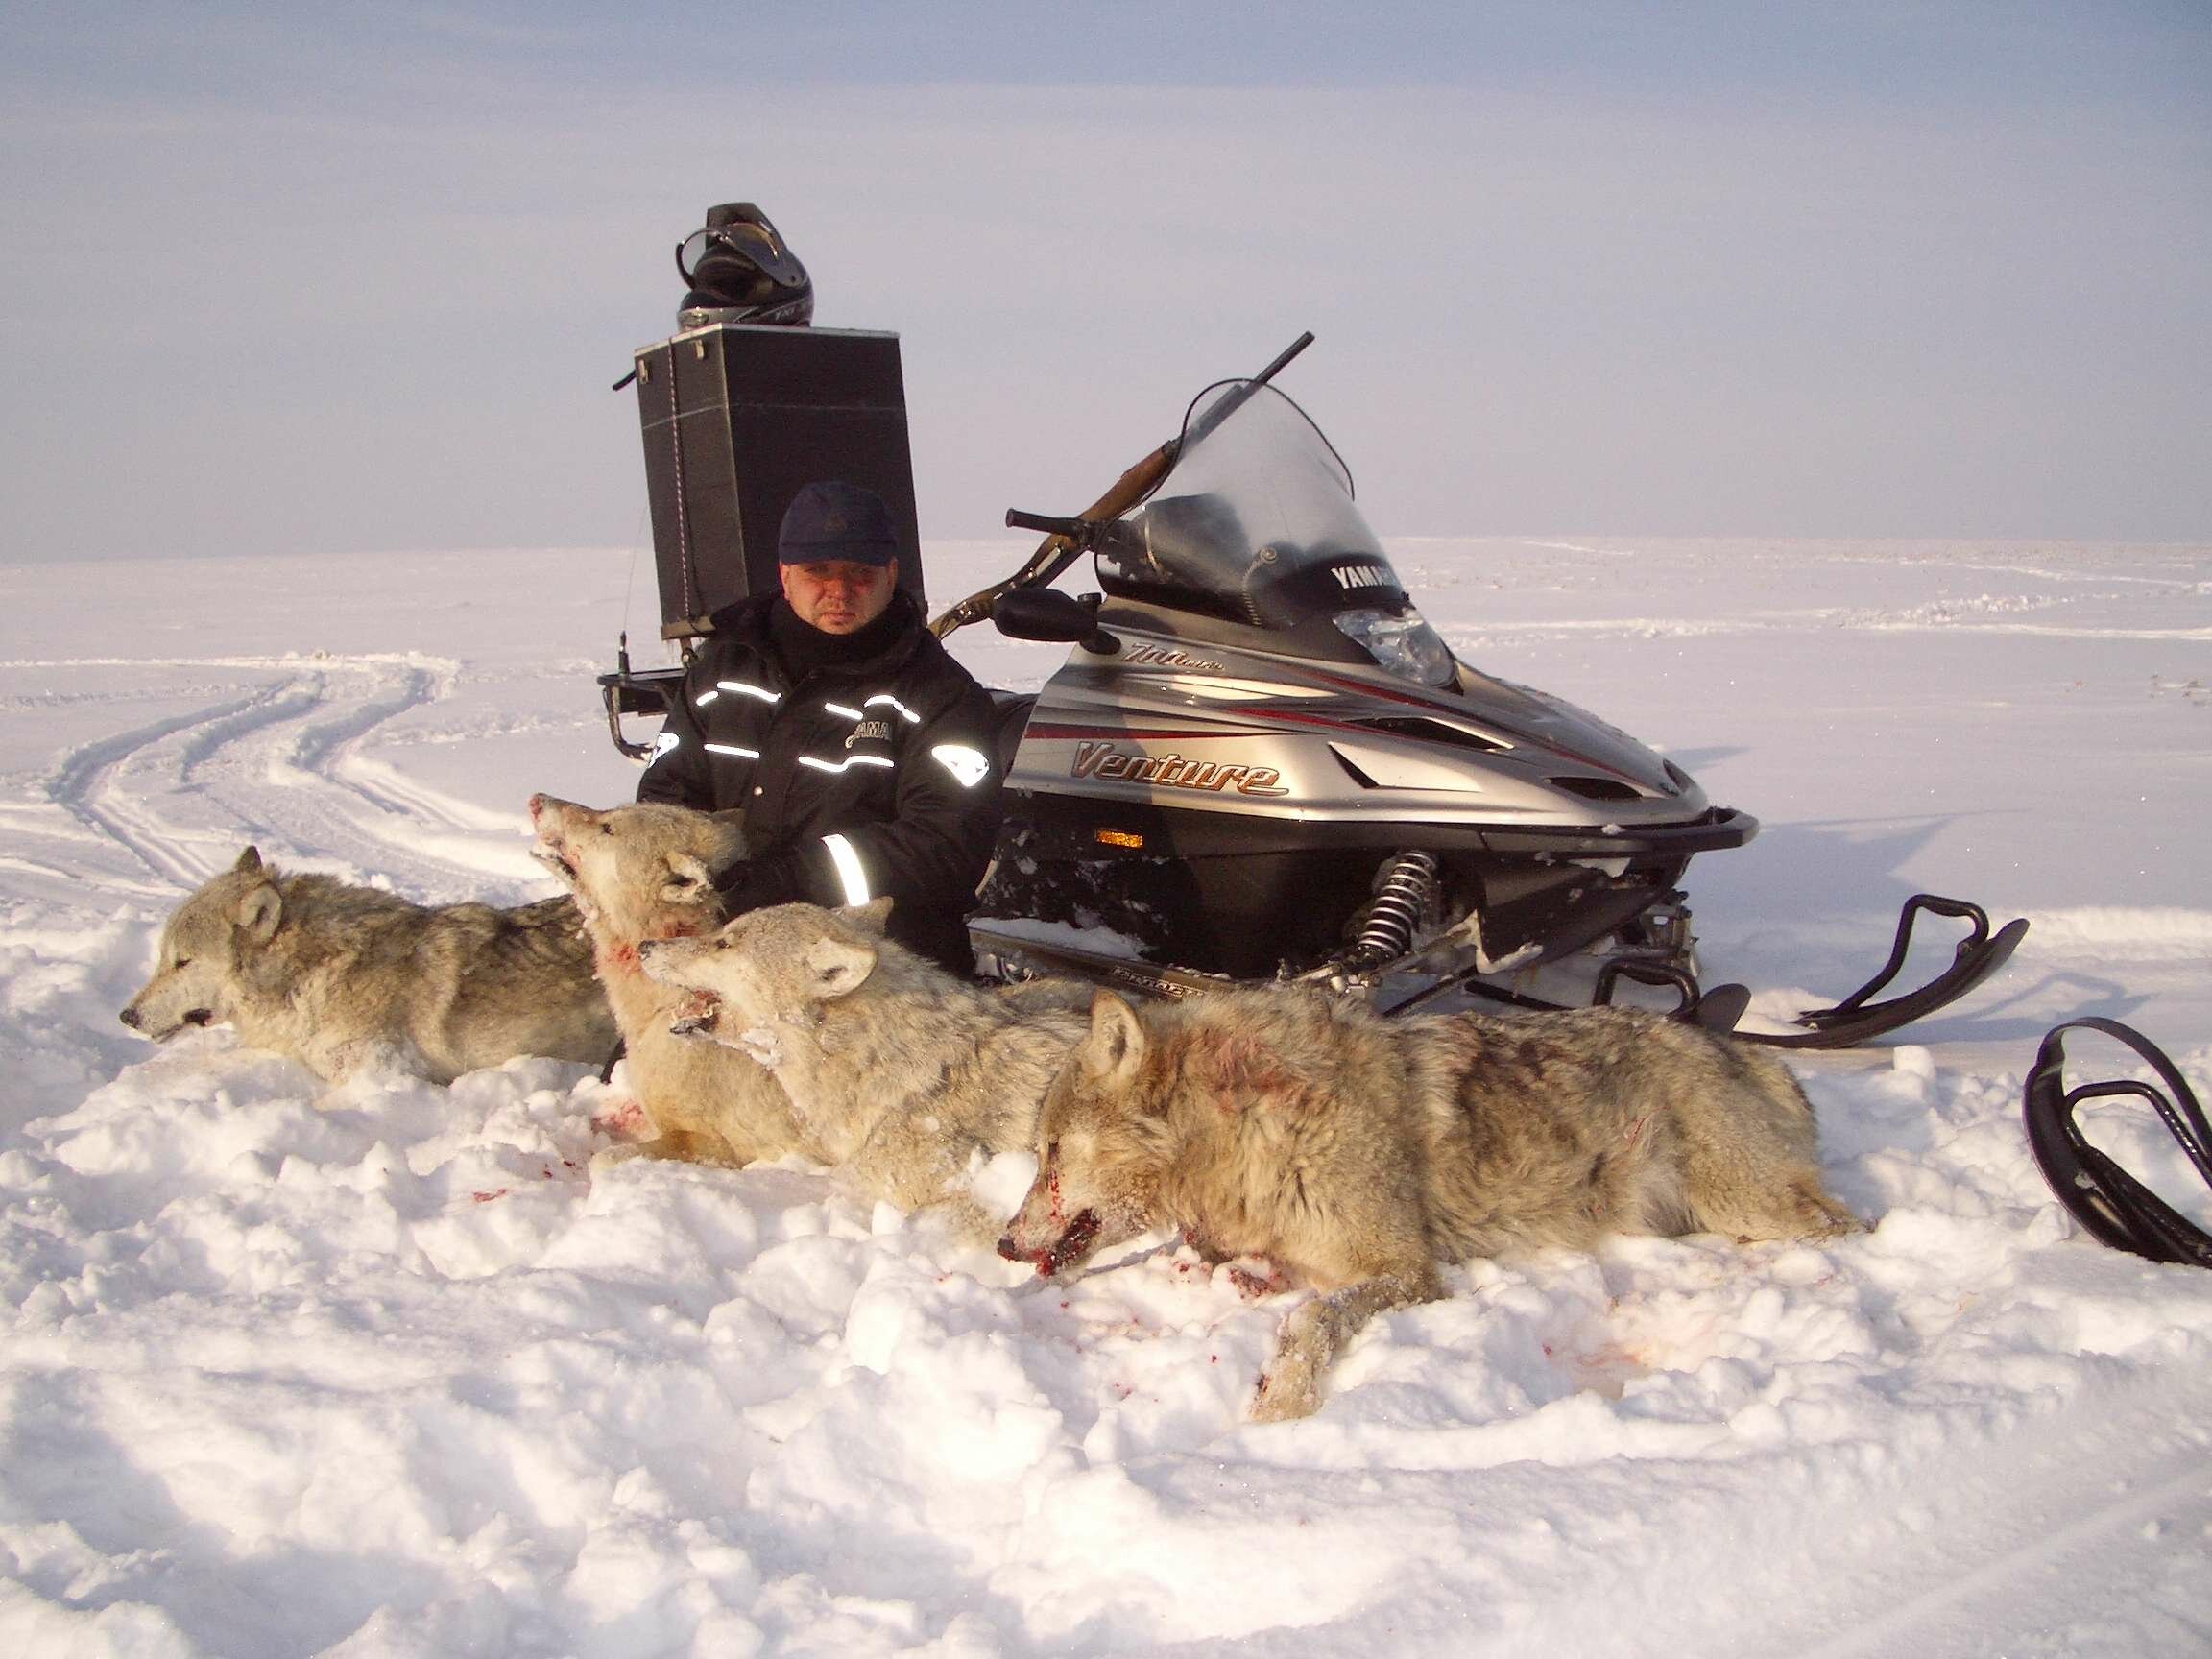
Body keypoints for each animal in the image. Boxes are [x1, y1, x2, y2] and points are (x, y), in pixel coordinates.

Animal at [524, 796, 813, 1167]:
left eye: (607, 827)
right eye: (607, 813)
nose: (536, 799)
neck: (666, 1006)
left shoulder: (709, 1146)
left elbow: (603, 1160)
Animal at [999, 986, 1849, 1432]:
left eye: (1050, 1152)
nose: (1005, 1243)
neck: (1245, 1130)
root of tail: (1756, 1055)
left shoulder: (1409, 1269)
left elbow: (1312, 1318)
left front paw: (1282, 1406)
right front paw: (1238, 1280)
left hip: (1750, 1204)